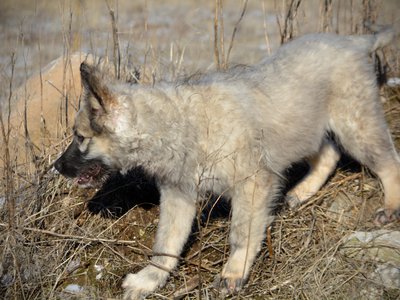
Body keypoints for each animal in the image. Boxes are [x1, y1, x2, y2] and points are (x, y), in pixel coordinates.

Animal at [54, 27, 398, 298]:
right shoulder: (178, 196)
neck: (176, 124)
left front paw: (234, 272)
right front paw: (149, 279)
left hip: (355, 126)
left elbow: (241, 232)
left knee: (389, 162)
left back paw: (391, 205)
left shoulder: (252, 183)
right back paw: (300, 193)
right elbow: (166, 244)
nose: (56, 167)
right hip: (304, 129)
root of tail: (353, 41)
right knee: (328, 154)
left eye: (80, 137)